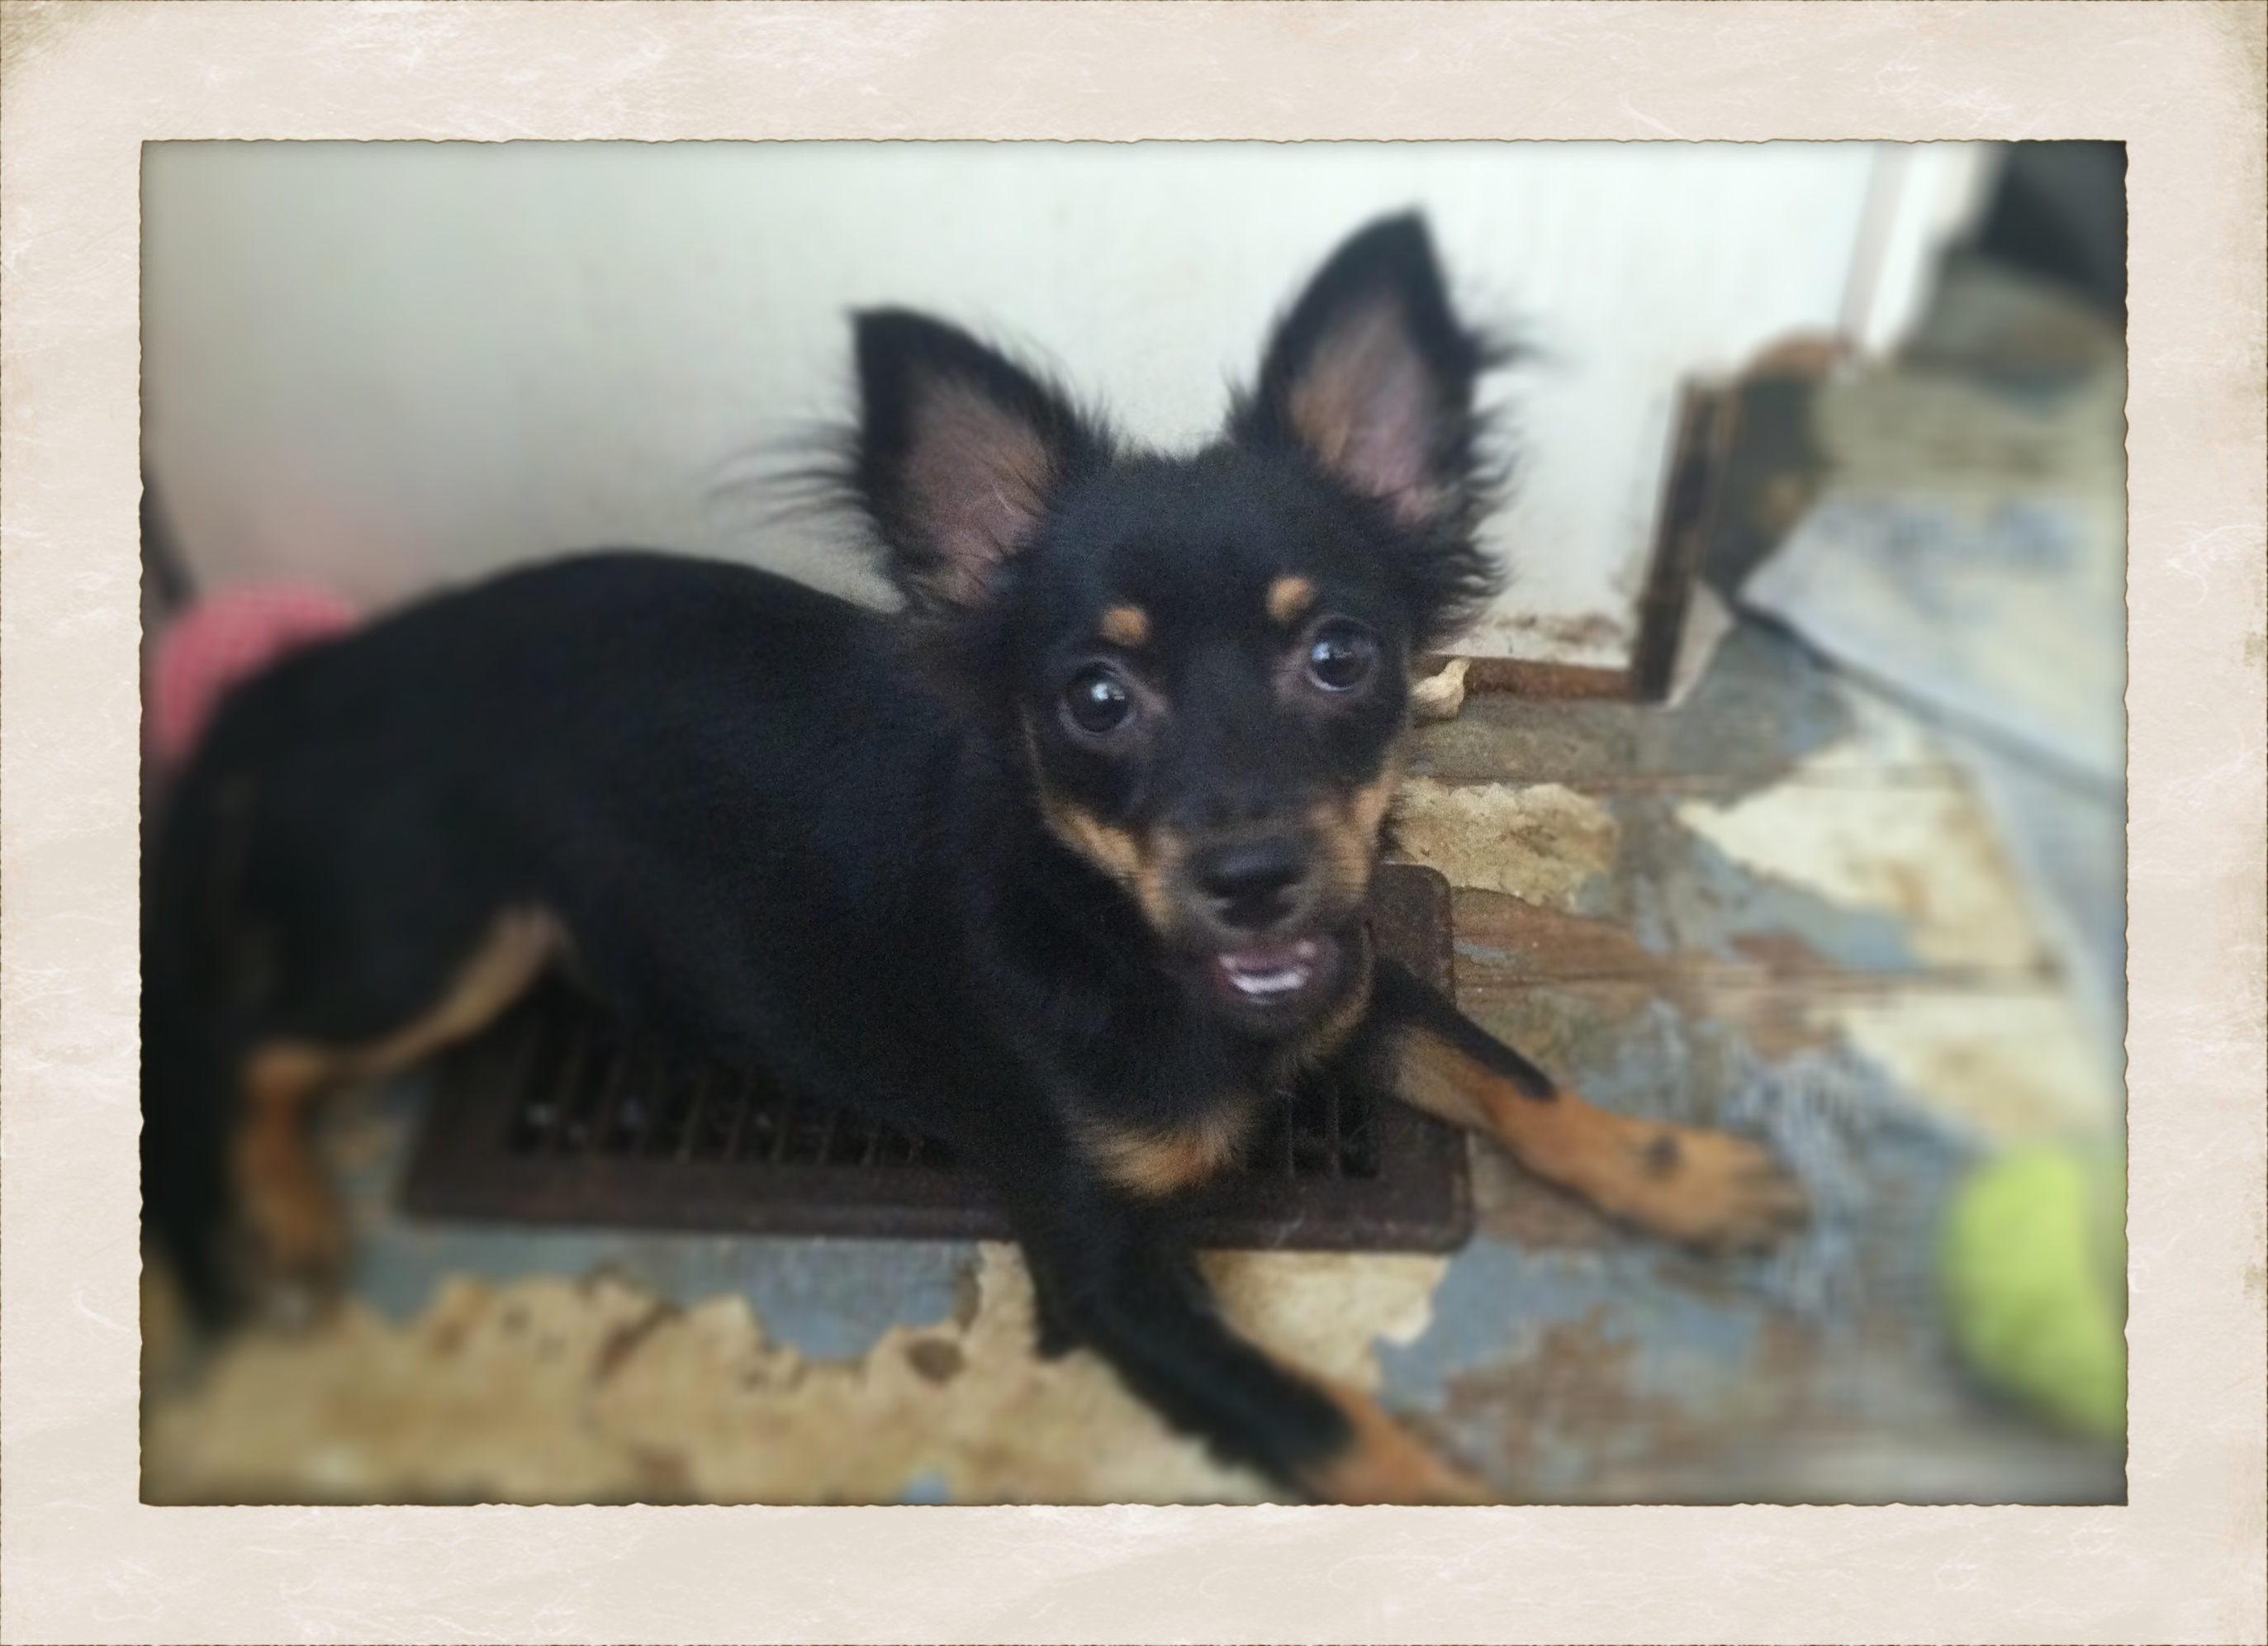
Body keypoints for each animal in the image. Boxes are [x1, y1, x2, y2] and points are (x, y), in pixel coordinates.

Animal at [143, 214, 1807, 1503]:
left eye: (1340, 654)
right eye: (1094, 697)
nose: (1253, 879)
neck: (1133, 945)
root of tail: (326, 672)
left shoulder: (1349, 979)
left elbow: (1515, 1074)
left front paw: (1682, 1176)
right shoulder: (1112, 1280)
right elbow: (1337, 1425)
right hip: (447, 936)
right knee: (250, 1041)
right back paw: (286, 1218)